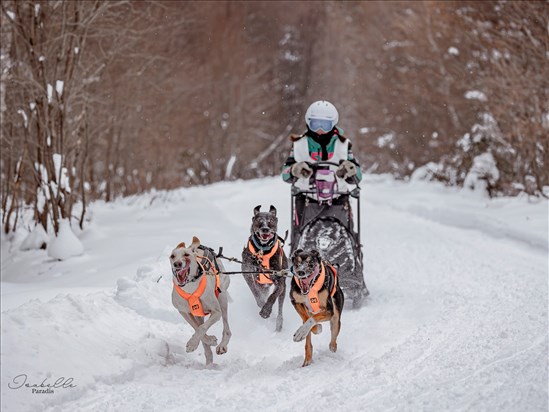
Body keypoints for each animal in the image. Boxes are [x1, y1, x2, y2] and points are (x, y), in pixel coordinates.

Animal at [171, 237, 231, 366]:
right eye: (172, 256)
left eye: (186, 254)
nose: (177, 264)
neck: (190, 287)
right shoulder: (184, 312)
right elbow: (197, 328)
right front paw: (209, 340)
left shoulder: (216, 312)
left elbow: (201, 328)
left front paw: (192, 343)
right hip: (199, 314)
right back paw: (209, 361)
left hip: (222, 299)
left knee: (227, 329)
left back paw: (222, 346)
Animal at [242, 204, 288, 334]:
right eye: (259, 220)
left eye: (271, 221)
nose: (265, 229)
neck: (262, 251)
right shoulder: (247, 272)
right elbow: (255, 291)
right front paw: (261, 303)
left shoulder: (279, 281)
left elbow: (273, 296)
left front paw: (266, 310)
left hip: (283, 290)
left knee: (280, 307)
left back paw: (278, 324)